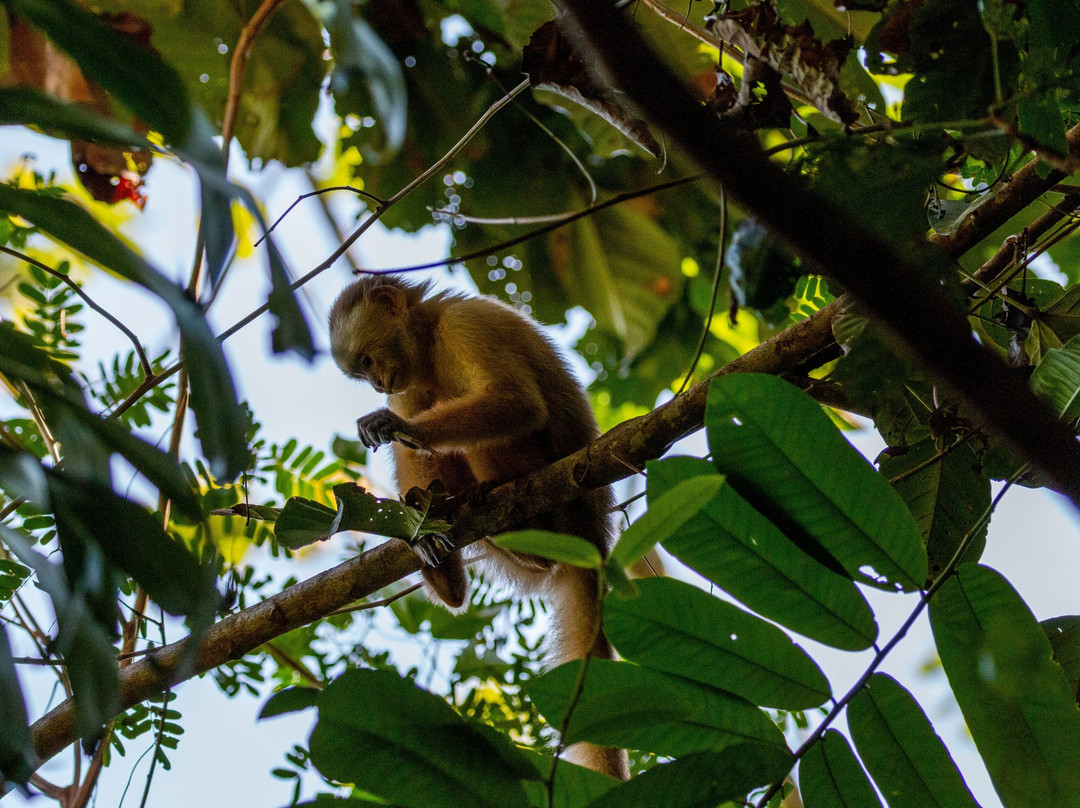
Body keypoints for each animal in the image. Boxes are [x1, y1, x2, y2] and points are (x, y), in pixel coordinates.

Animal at [332, 274, 630, 777]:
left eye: (367, 362)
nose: (376, 384)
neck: (430, 338)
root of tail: (593, 535)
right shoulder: (407, 379)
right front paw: (423, 535)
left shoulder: (465, 325)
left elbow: (517, 403)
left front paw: (401, 426)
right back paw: (444, 561)